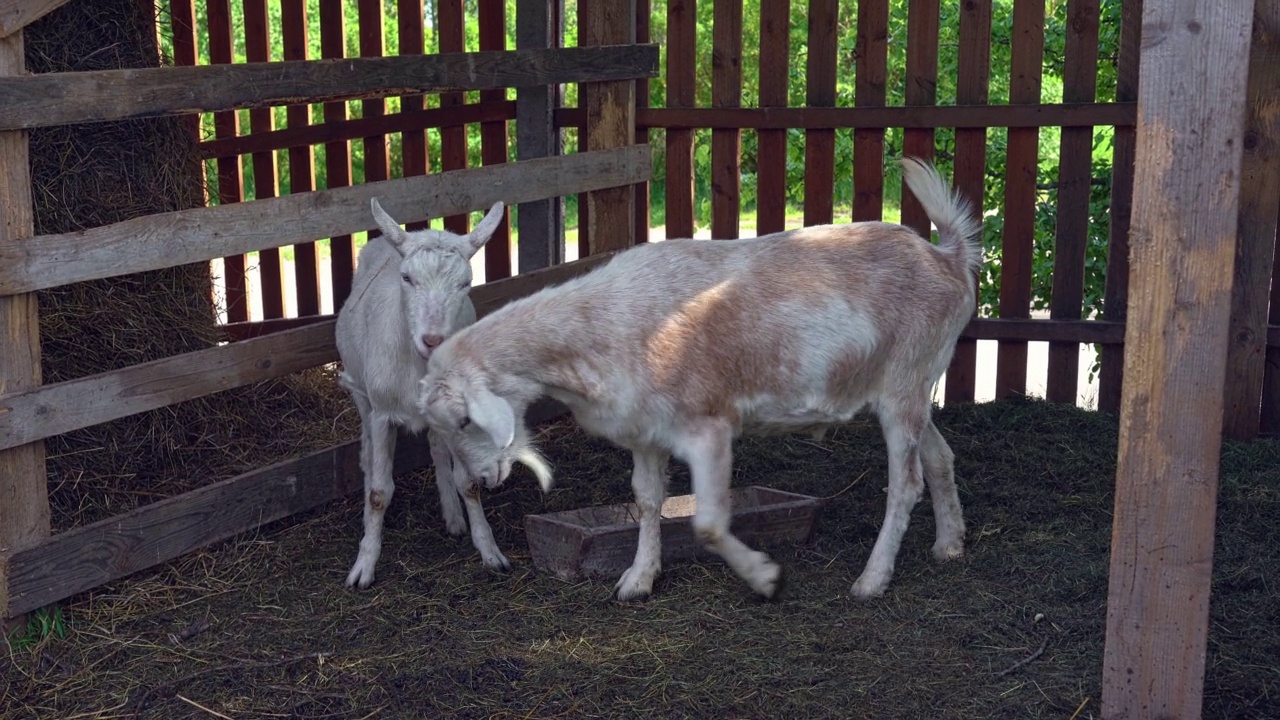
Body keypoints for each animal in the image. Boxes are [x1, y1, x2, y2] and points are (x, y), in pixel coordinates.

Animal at [337, 193, 512, 586]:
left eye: (466, 283)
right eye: (407, 278)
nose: (433, 340)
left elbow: (469, 482)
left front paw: (489, 550)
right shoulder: (382, 413)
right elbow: (379, 492)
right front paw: (364, 566)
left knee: (437, 449)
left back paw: (453, 517)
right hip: (360, 392)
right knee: (366, 450)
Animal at [419, 158, 977, 599]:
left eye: (466, 420)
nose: (480, 482)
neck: (600, 326)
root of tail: (949, 258)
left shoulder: (708, 426)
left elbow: (708, 522)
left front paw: (764, 577)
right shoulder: (645, 433)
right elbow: (648, 500)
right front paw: (638, 580)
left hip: (905, 383)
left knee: (905, 483)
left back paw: (872, 580)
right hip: (907, 386)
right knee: (940, 457)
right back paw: (949, 545)